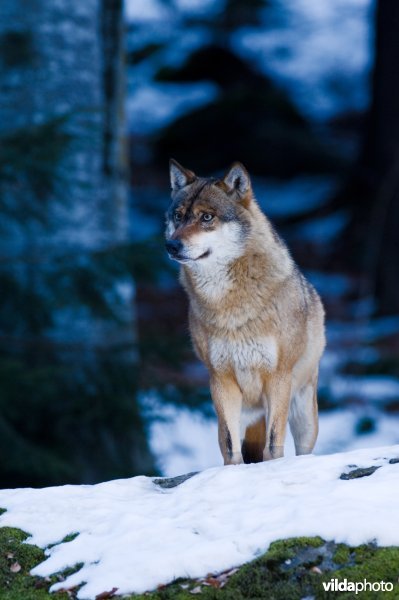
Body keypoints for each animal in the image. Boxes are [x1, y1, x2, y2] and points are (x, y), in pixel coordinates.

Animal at [165, 159, 324, 464]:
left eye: (206, 217)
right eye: (178, 217)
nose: (171, 245)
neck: (229, 305)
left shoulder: (278, 377)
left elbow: (273, 443)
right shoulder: (220, 379)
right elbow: (229, 445)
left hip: (304, 414)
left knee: (303, 449)